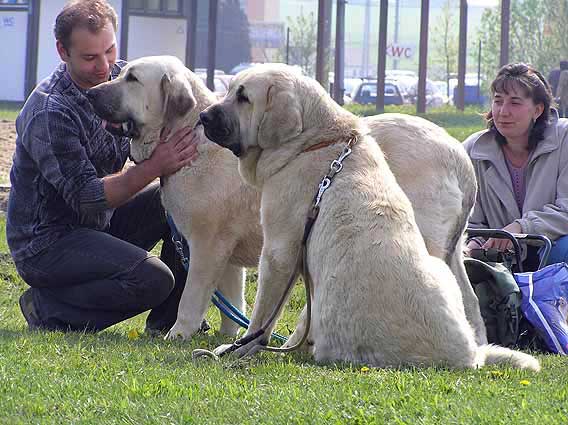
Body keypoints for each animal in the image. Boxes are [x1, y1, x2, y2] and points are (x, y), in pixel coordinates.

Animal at [87, 57, 484, 344]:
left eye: (132, 79)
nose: (91, 94)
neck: (190, 137)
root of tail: (459, 157)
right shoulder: (228, 252)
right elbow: (233, 300)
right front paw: (227, 336)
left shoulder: (207, 245)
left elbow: (192, 295)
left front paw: (179, 334)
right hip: (451, 253)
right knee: (470, 301)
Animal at [202, 63, 540, 372]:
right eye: (229, 90)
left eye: (243, 97)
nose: (204, 116)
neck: (314, 141)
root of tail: (467, 357)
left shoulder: (279, 252)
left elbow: (263, 314)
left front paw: (242, 347)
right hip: (444, 263)